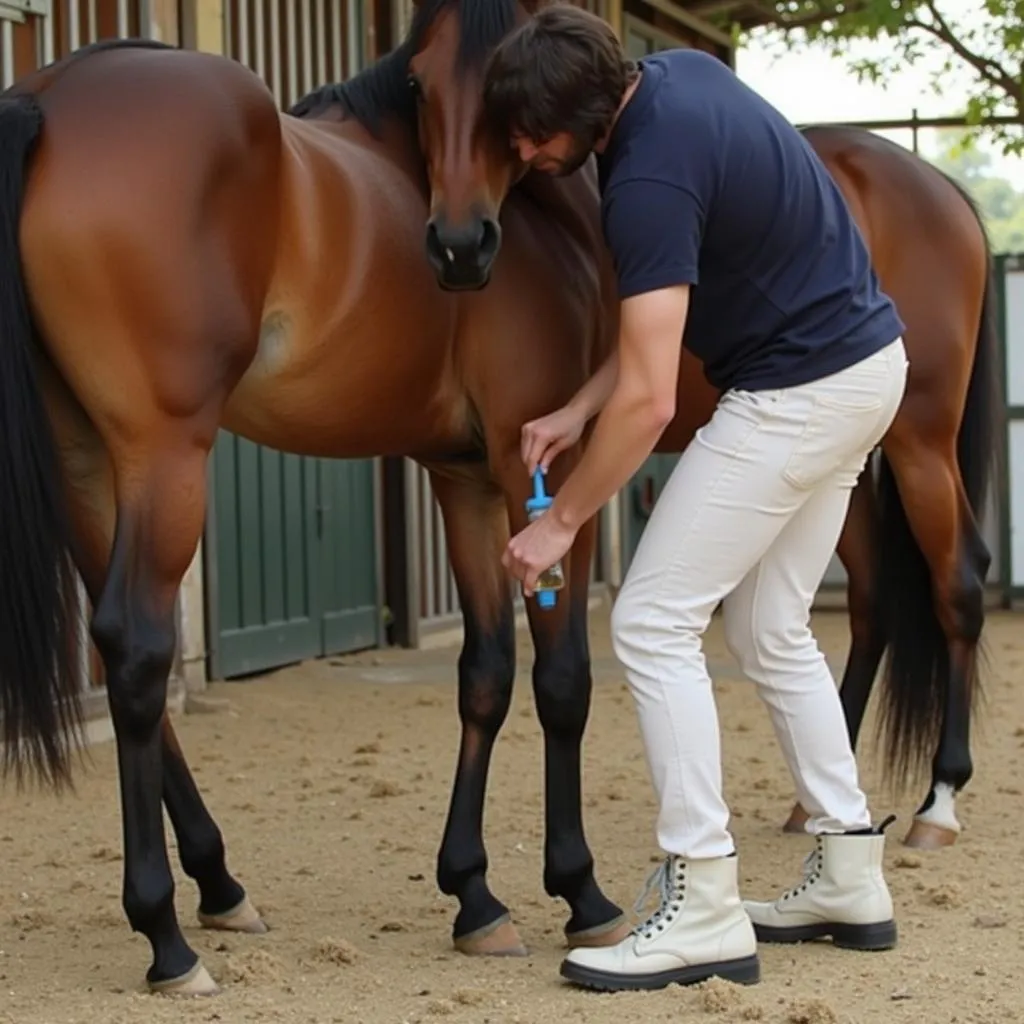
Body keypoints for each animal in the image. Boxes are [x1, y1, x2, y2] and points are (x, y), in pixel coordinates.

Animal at [0, 4, 630, 995]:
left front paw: (474, 895)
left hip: (84, 463)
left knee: (118, 647)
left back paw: (221, 886)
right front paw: (582, 890)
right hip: (163, 453)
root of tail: (47, 95)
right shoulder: (550, 470)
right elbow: (562, 680)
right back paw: (167, 938)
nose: (458, 249)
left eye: (498, 88)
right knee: (137, 650)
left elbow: (485, 675)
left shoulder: (462, 479)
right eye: (420, 83)